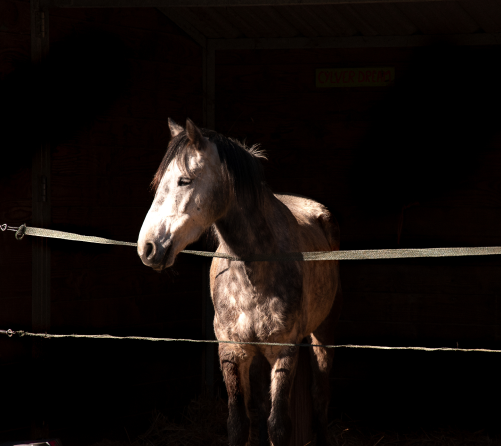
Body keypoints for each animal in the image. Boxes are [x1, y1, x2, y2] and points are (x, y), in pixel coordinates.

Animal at [137, 116, 342, 444]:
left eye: (185, 181)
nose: (147, 248)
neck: (254, 270)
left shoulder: (285, 351)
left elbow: (278, 426)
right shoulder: (232, 352)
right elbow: (238, 423)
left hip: (323, 332)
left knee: (320, 394)